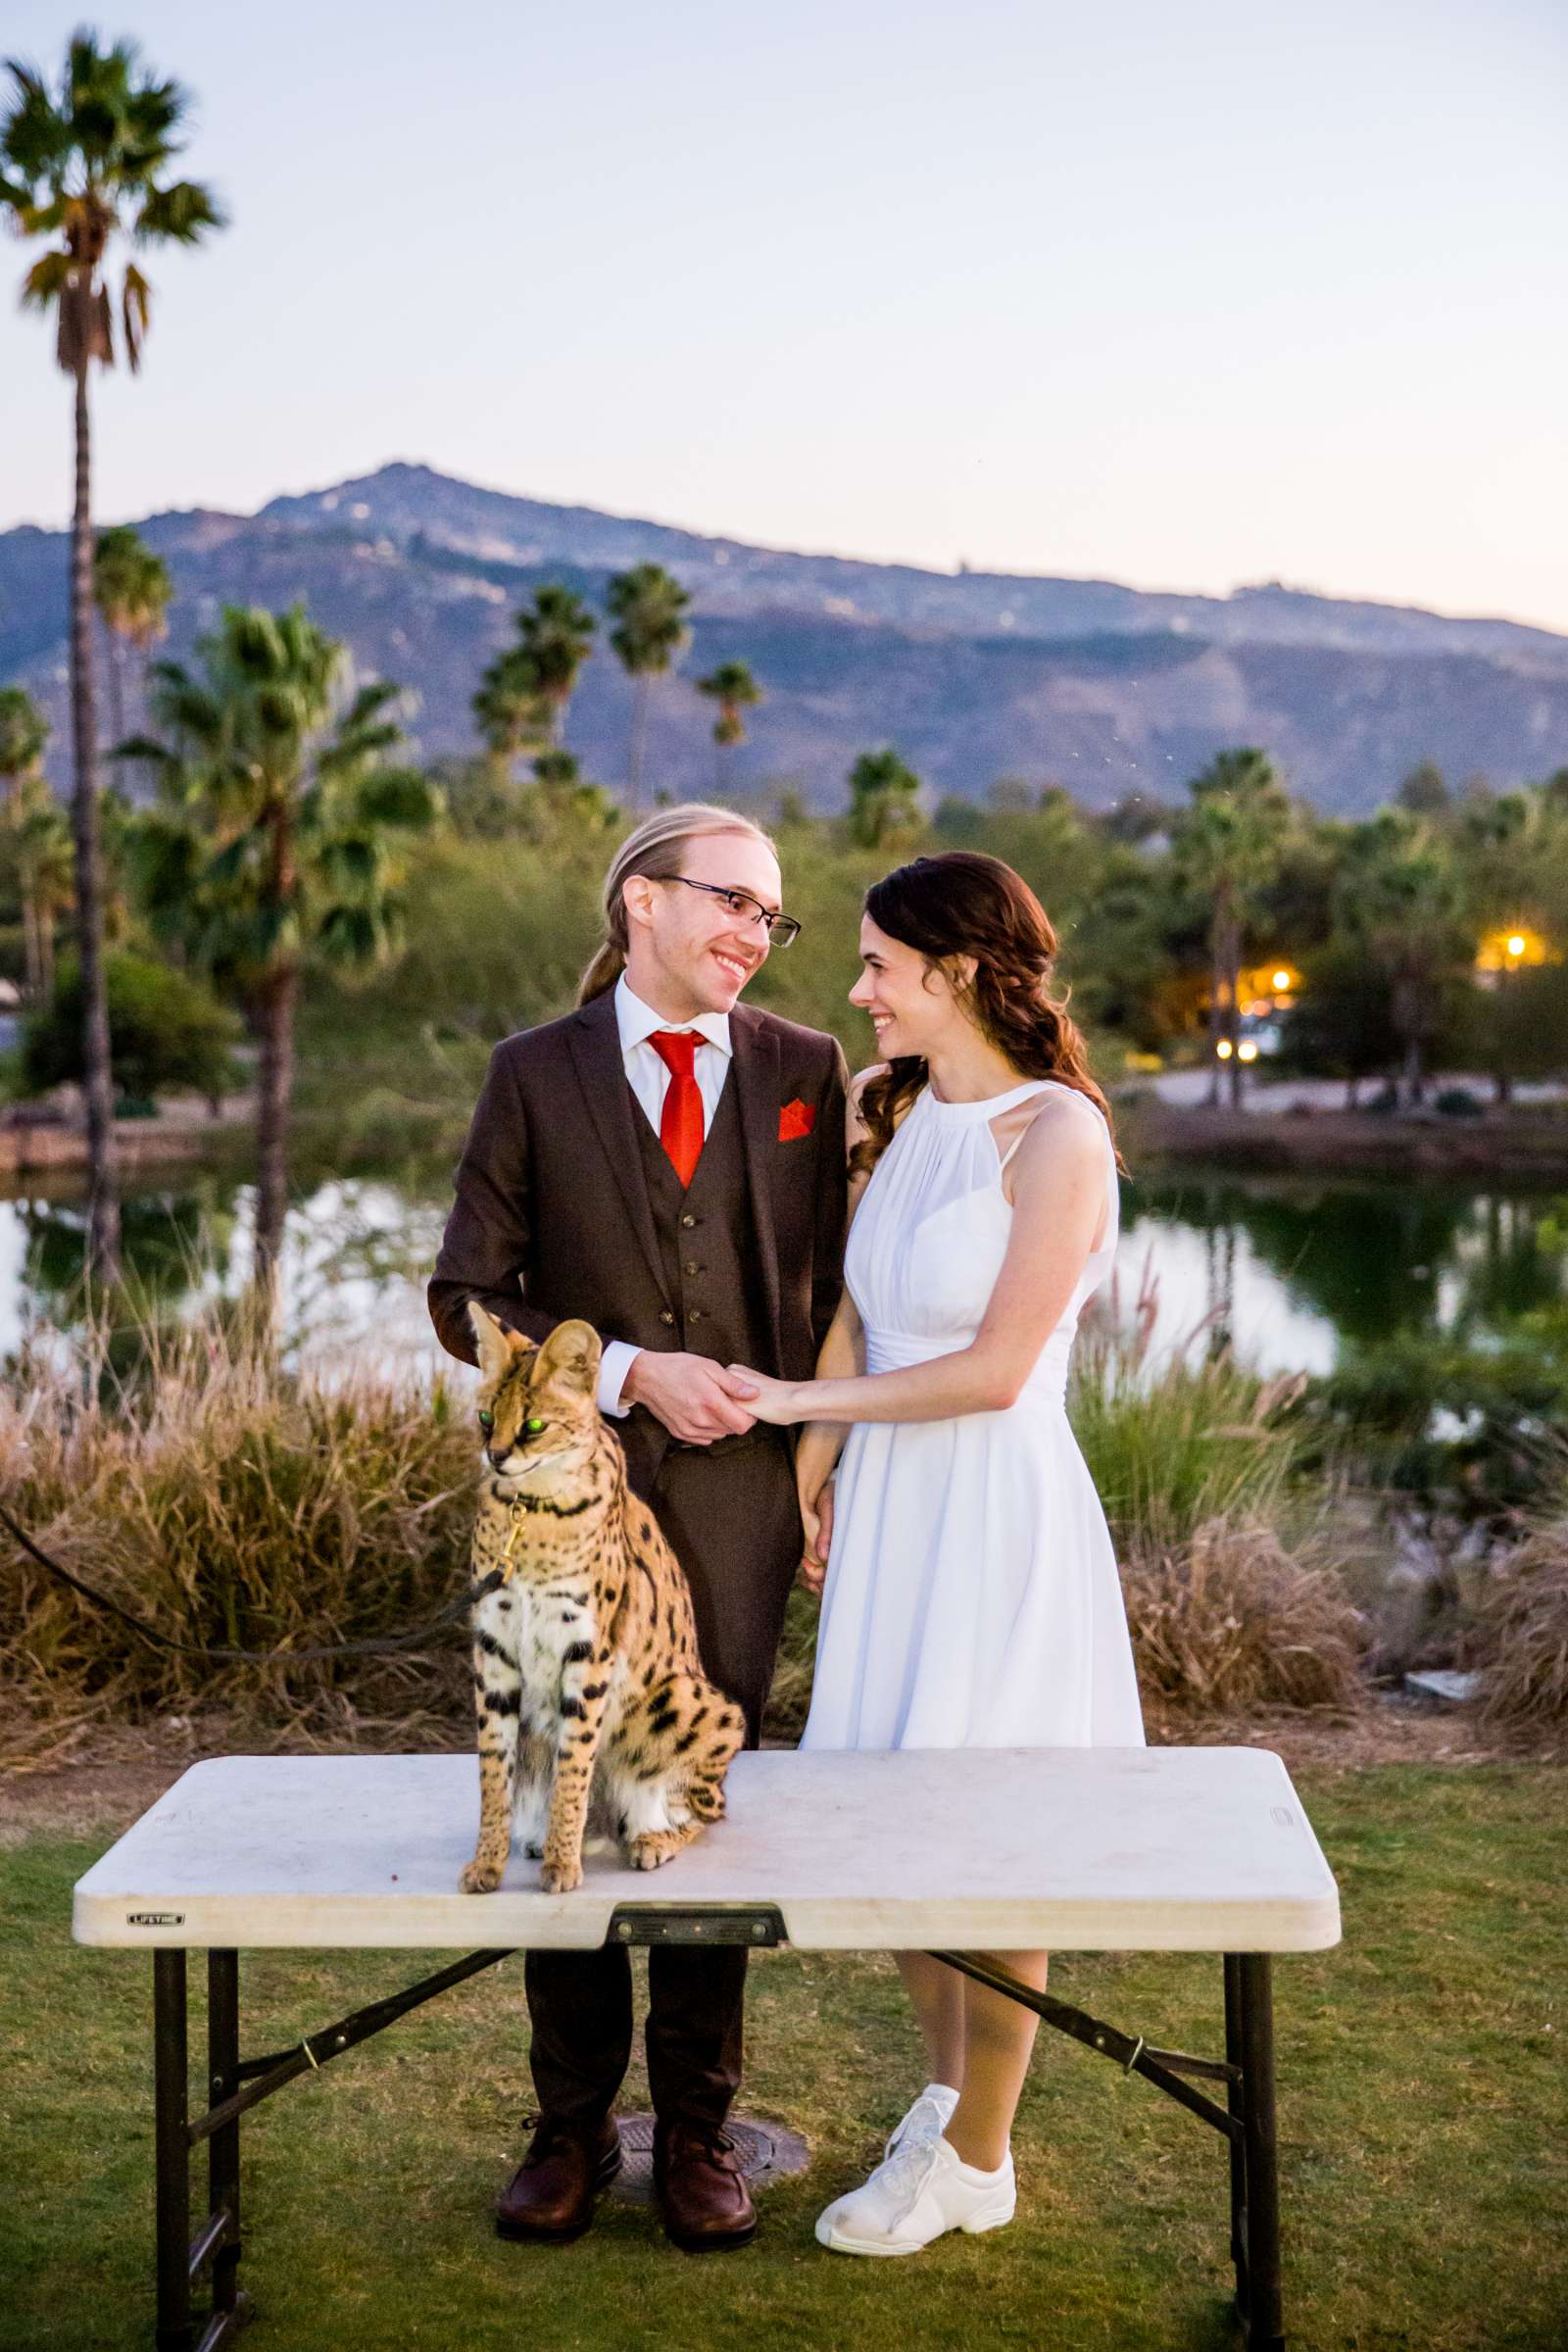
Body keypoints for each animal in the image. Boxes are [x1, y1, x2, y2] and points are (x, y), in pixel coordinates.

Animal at [456, 1307, 747, 1890]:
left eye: (534, 1426)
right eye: (485, 1417)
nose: (495, 1458)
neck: (530, 1509)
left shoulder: (588, 1649)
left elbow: (575, 1765)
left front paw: (562, 1863)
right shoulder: (494, 1649)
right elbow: (493, 1770)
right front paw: (488, 1862)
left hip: (693, 1701)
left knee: (707, 1807)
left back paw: (651, 1838)